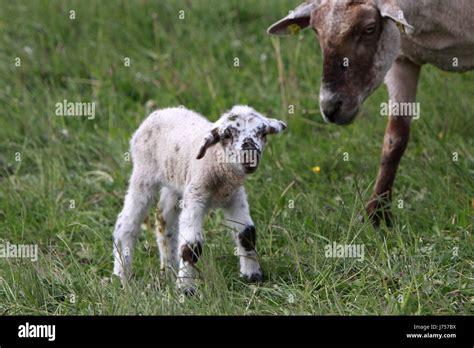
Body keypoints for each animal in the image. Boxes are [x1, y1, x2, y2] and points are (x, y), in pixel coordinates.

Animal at [113, 104, 286, 292]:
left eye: (262, 133)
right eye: (227, 135)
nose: (250, 155)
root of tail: (159, 112)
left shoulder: (234, 196)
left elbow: (246, 234)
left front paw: (252, 276)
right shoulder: (196, 195)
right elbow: (192, 246)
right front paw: (185, 289)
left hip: (176, 182)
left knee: (163, 217)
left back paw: (168, 269)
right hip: (144, 173)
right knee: (126, 223)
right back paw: (121, 276)